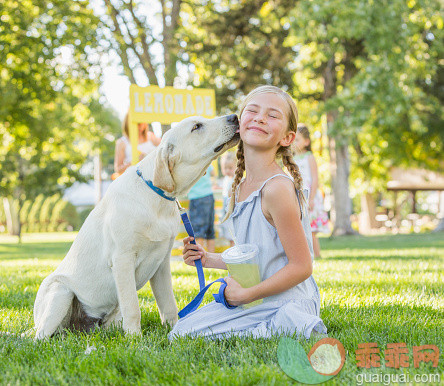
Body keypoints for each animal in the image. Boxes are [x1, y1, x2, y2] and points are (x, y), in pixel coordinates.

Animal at [33, 114, 239, 338]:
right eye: (197, 127)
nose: (234, 117)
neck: (155, 195)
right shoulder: (122, 259)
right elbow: (133, 306)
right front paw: (134, 338)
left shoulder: (162, 264)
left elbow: (169, 304)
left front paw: (174, 329)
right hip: (60, 292)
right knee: (41, 336)